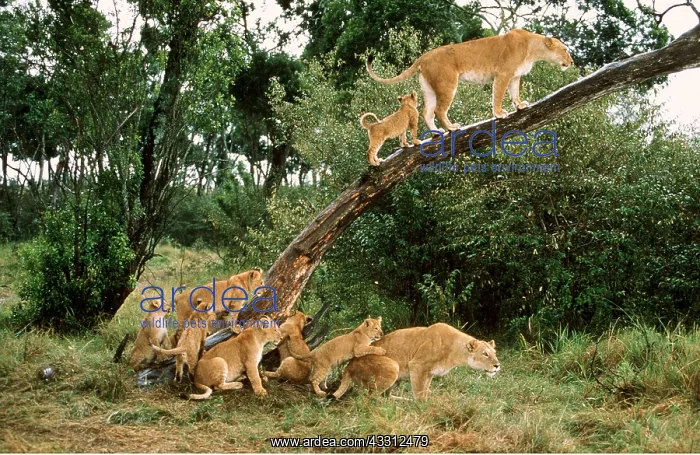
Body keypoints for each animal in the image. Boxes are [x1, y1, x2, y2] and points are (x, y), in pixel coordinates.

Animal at [332, 323, 500, 401]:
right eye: (485, 354)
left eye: (495, 353)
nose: (497, 365)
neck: (455, 350)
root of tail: (349, 365)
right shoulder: (417, 366)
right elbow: (419, 393)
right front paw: (421, 408)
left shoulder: (429, 373)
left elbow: (424, 391)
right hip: (392, 366)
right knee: (367, 399)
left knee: (385, 396)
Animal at [366, 29, 573, 130]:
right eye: (565, 50)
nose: (571, 62)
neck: (533, 50)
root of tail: (423, 56)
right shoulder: (503, 74)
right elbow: (498, 95)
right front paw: (499, 113)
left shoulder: (515, 77)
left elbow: (515, 93)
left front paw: (521, 105)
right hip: (448, 84)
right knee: (439, 110)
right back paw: (451, 128)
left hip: (428, 89)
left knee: (427, 113)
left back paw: (437, 133)